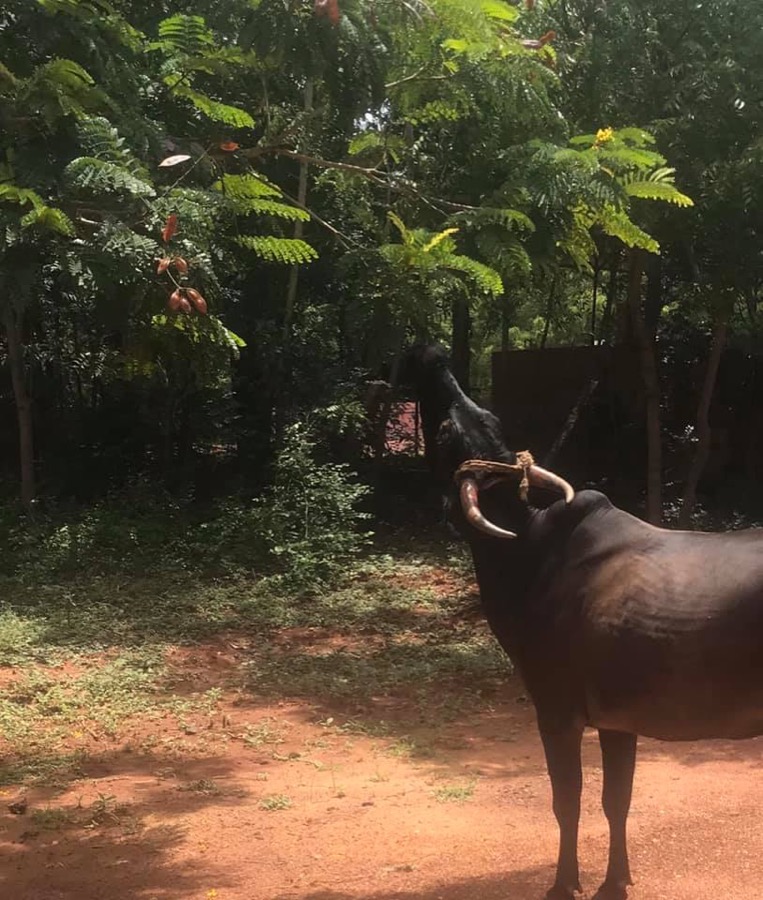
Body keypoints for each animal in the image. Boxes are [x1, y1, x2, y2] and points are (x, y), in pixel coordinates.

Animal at [402, 343, 763, 899]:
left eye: (444, 432)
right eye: (488, 416)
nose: (431, 354)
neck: (525, 552)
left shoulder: (556, 708)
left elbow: (567, 803)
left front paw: (563, 882)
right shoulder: (619, 719)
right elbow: (617, 803)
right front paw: (616, 880)